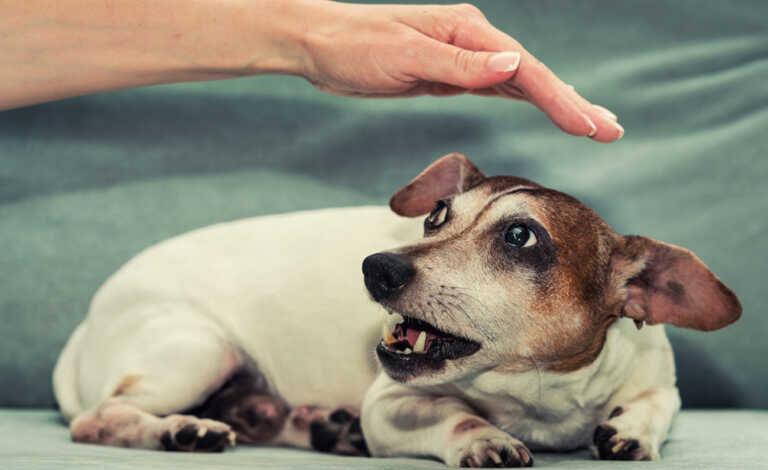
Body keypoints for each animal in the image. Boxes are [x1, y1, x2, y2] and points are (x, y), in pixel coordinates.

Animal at [52, 153, 736, 466]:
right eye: (436, 216)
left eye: (521, 237)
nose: (376, 266)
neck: (536, 395)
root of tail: (85, 325)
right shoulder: (392, 404)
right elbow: (456, 419)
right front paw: (484, 437)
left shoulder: (658, 382)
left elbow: (653, 407)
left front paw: (628, 431)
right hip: (197, 350)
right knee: (101, 418)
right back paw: (181, 430)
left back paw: (322, 426)